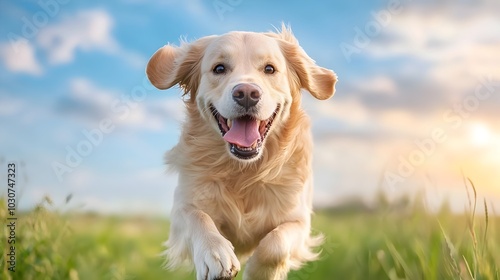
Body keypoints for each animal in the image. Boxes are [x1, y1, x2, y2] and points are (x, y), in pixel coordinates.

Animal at [146, 25, 338, 278]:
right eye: (219, 68)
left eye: (269, 68)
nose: (246, 93)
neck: (244, 170)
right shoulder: (183, 207)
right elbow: (197, 216)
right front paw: (215, 254)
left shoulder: (298, 220)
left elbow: (275, 244)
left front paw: (258, 271)